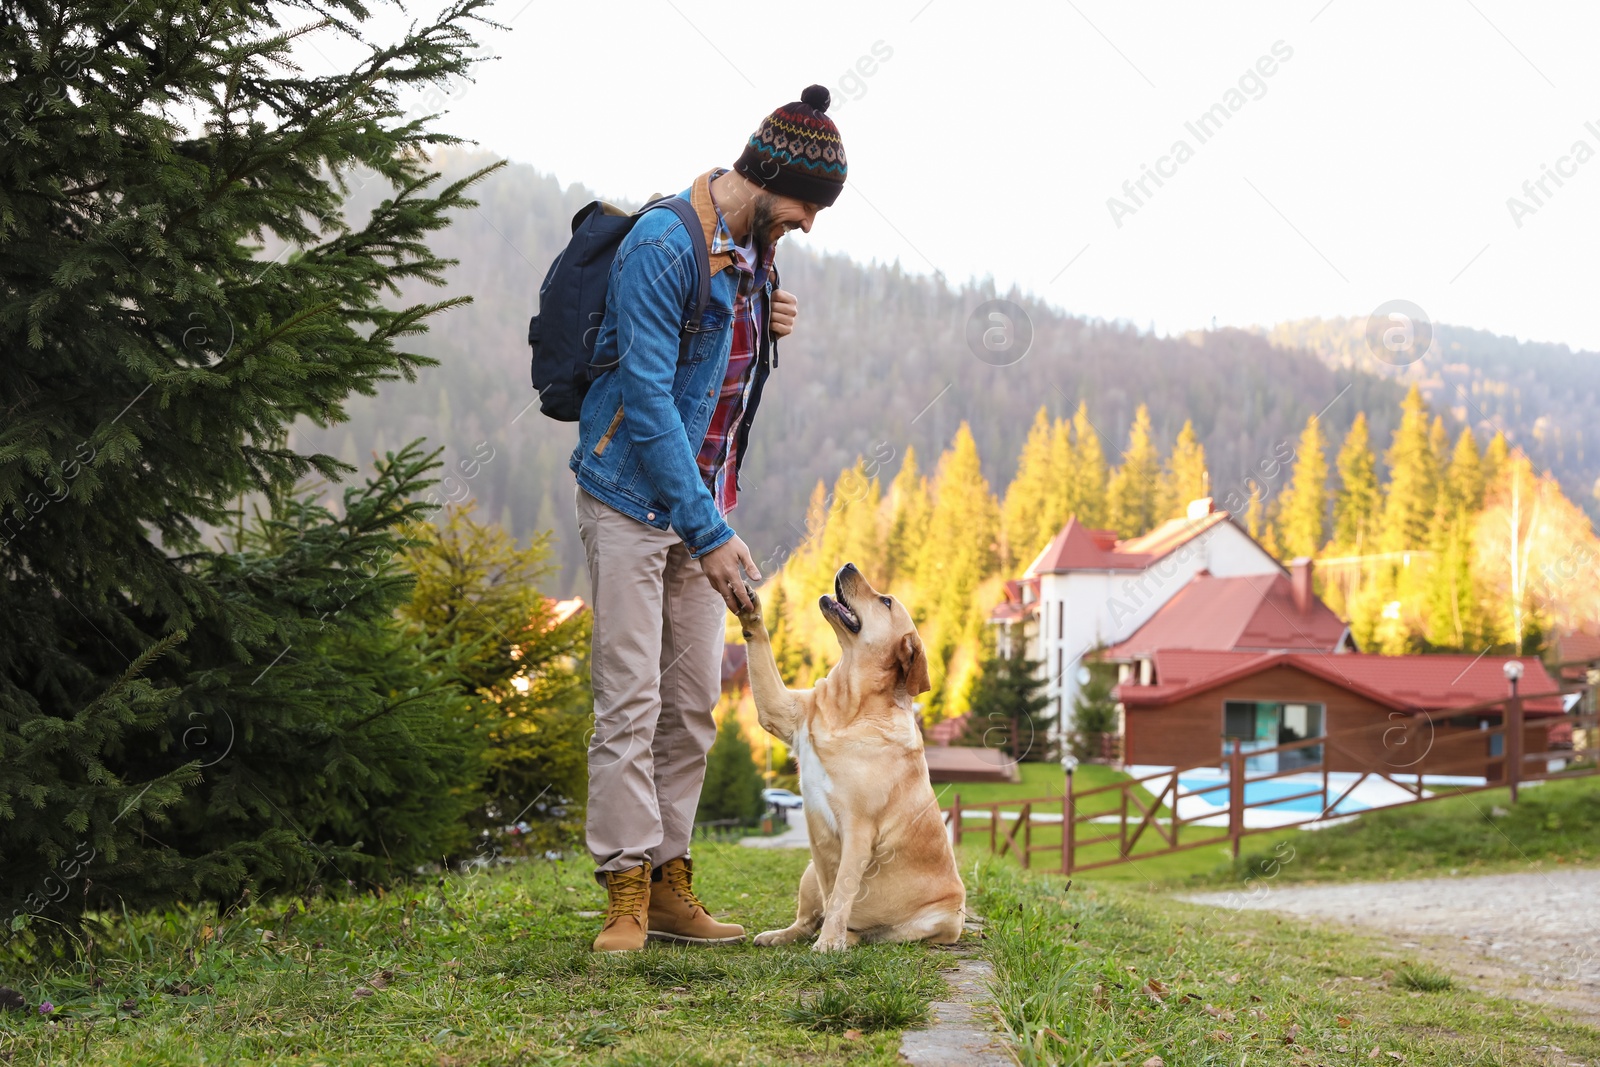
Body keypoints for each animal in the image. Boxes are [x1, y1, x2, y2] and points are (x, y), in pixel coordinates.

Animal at [732, 563, 960, 953]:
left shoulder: (858, 830)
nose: (849, 565)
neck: (850, 707)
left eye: (885, 601)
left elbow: (840, 893)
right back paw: (782, 935)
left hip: (941, 920)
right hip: (809, 870)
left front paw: (829, 943)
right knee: (806, 919)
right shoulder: (781, 710)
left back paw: (850, 937)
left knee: (871, 929)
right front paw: (750, 607)